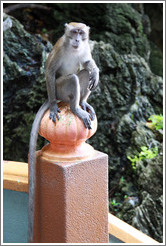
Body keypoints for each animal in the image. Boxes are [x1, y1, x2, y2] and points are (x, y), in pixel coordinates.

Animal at [27, 22, 99, 241]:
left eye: (81, 33)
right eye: (73, 32)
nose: (76, 39)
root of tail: (63, 99)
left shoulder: (85, 48)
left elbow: (87, 63)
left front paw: (95, 70)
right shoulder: (59, 49)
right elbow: (50, 71)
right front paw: (51, 107)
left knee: (84, 74)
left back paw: (83, 103)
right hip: (59, 90)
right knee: (73, 78)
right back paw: (74, 107)